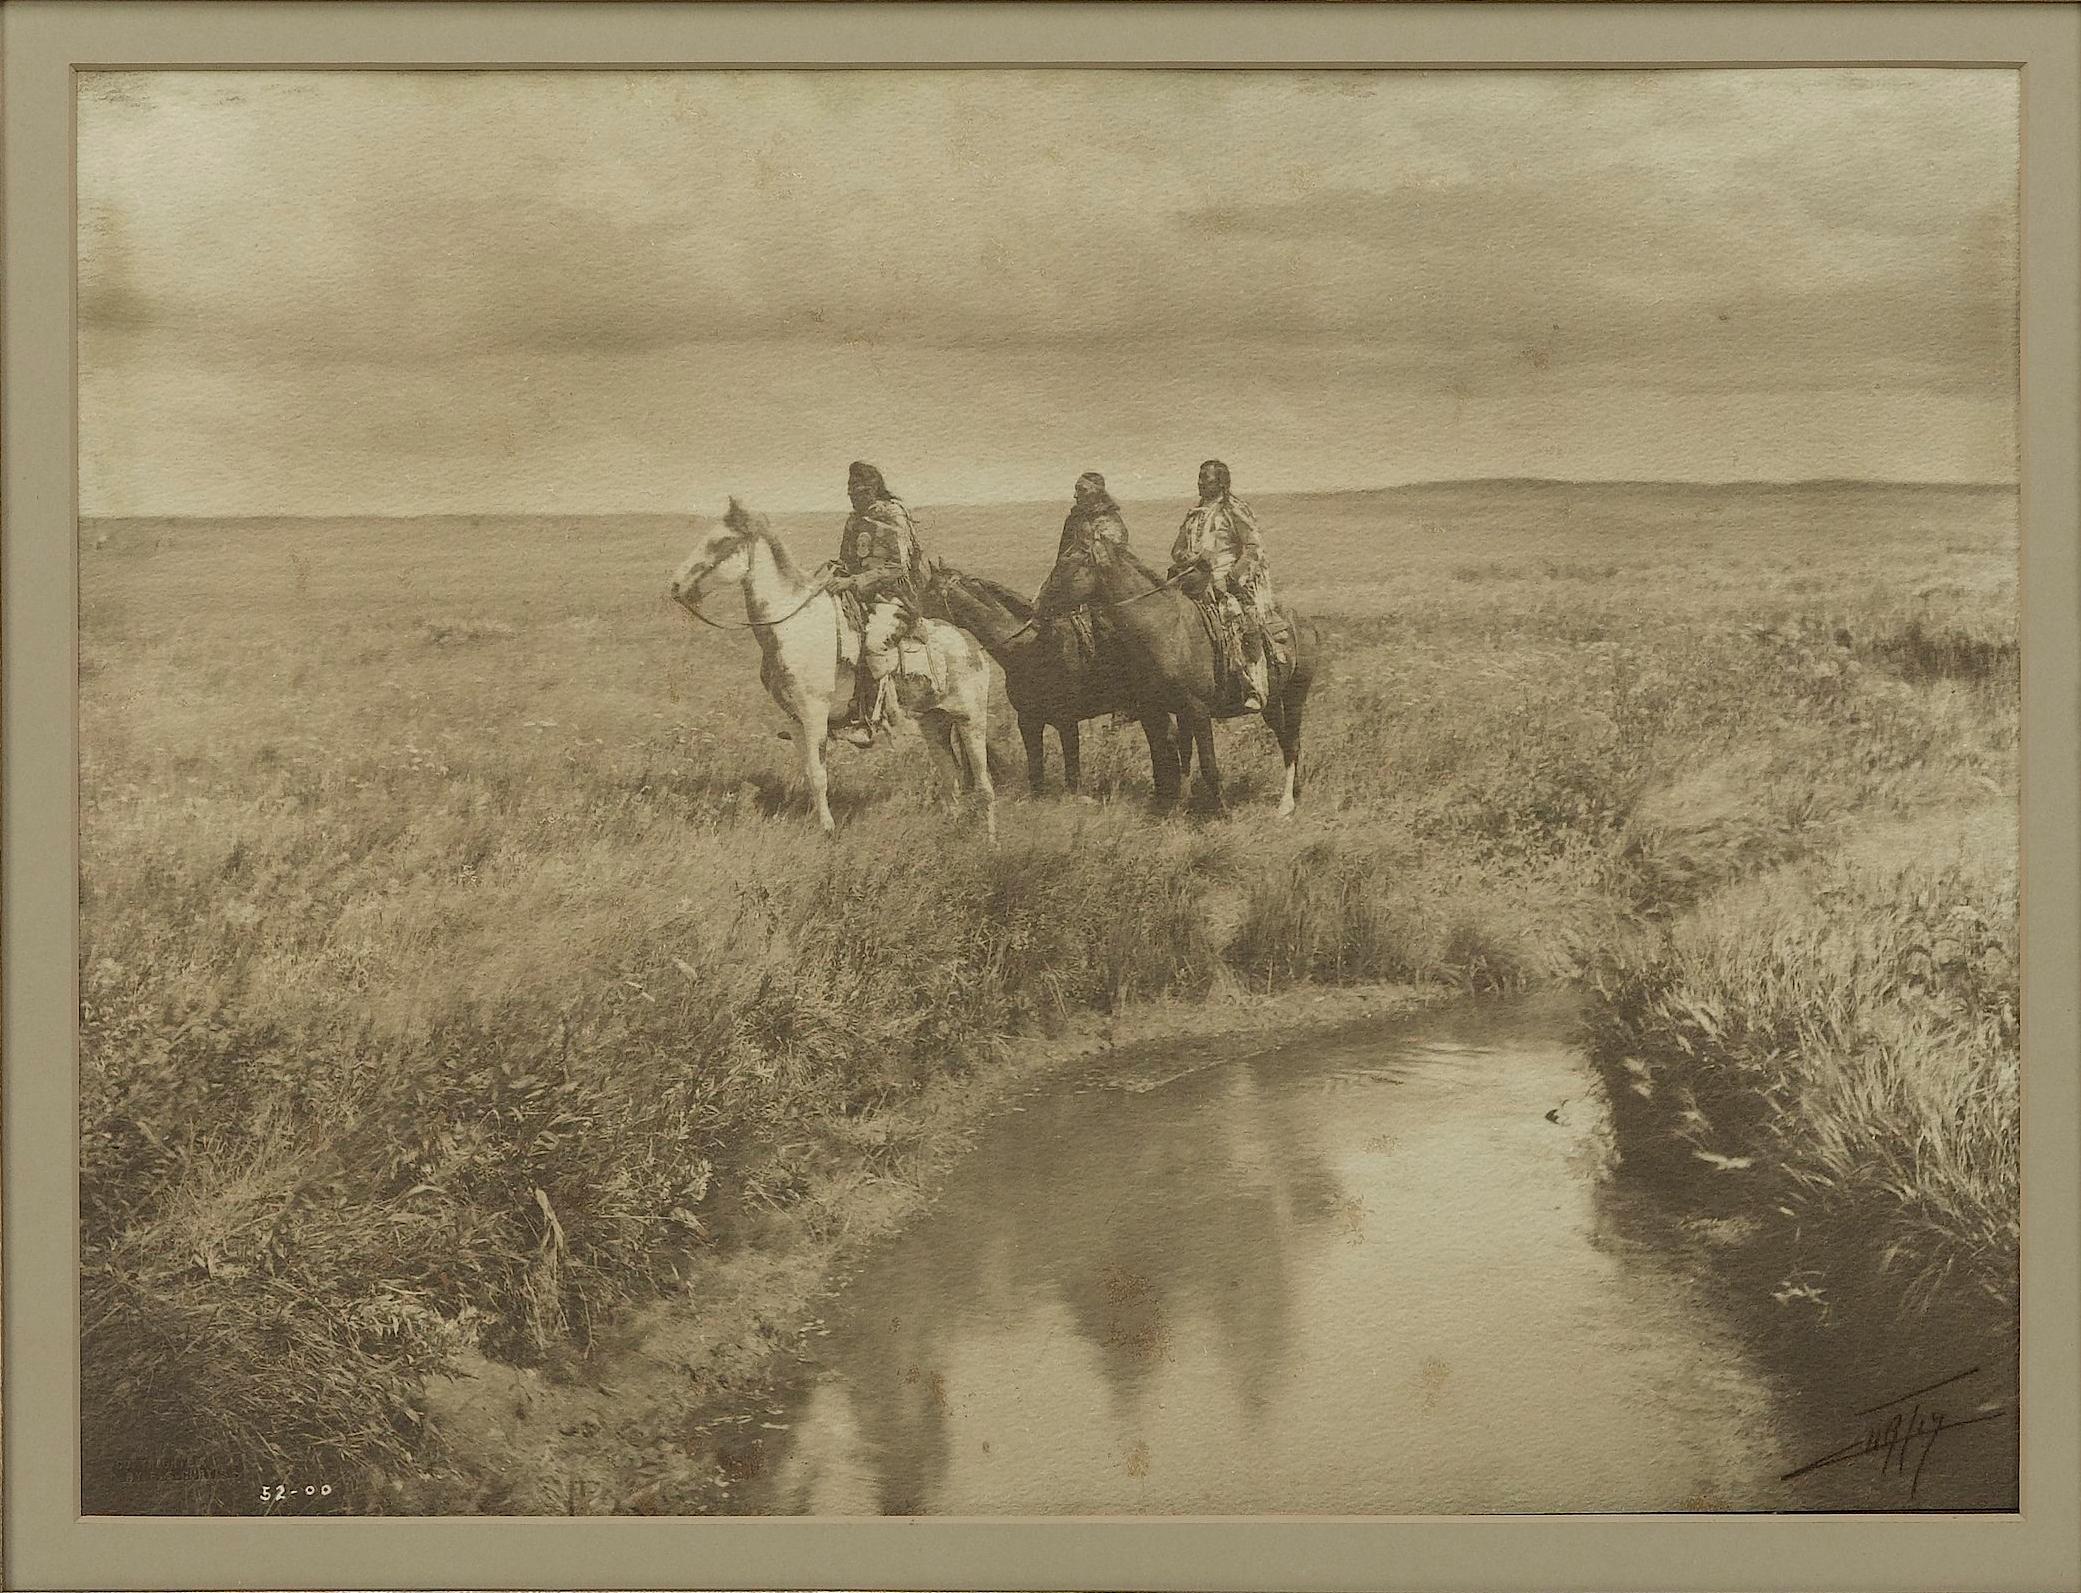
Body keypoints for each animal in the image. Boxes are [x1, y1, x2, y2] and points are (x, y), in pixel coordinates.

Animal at [665, 499, 990, 837]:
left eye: (720, 542)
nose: (675, 585)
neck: (794, 625)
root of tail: (971, 645)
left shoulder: (815, 714)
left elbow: (820, 775)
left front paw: (828, 829)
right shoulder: (795, 719)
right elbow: (809, 773)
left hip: (971, 721)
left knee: (984, 784)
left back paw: (989, 838)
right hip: (933, 723)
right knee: (951, 778)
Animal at [936, 566, 1182, 799]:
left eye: (929, 588)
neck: (1031, 649)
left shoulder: (1066, 721)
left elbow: (1072, 769)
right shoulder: (1028, 720)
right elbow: (1036, 765)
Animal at [1048, 545, 1323, 820]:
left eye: (1069, 569)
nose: (1042, 605)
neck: (1167, 629)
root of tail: (1305, 621)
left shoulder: (1198, 710)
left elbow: (1207, 762)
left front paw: (1221, 812)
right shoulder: (1164, 710)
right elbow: (1179, 757)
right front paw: (1177, 806)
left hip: (1295, 694)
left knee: (1292, 742)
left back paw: (1286, 803)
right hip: (1272, 701)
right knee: (1286, 739)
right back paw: (1295, 791)